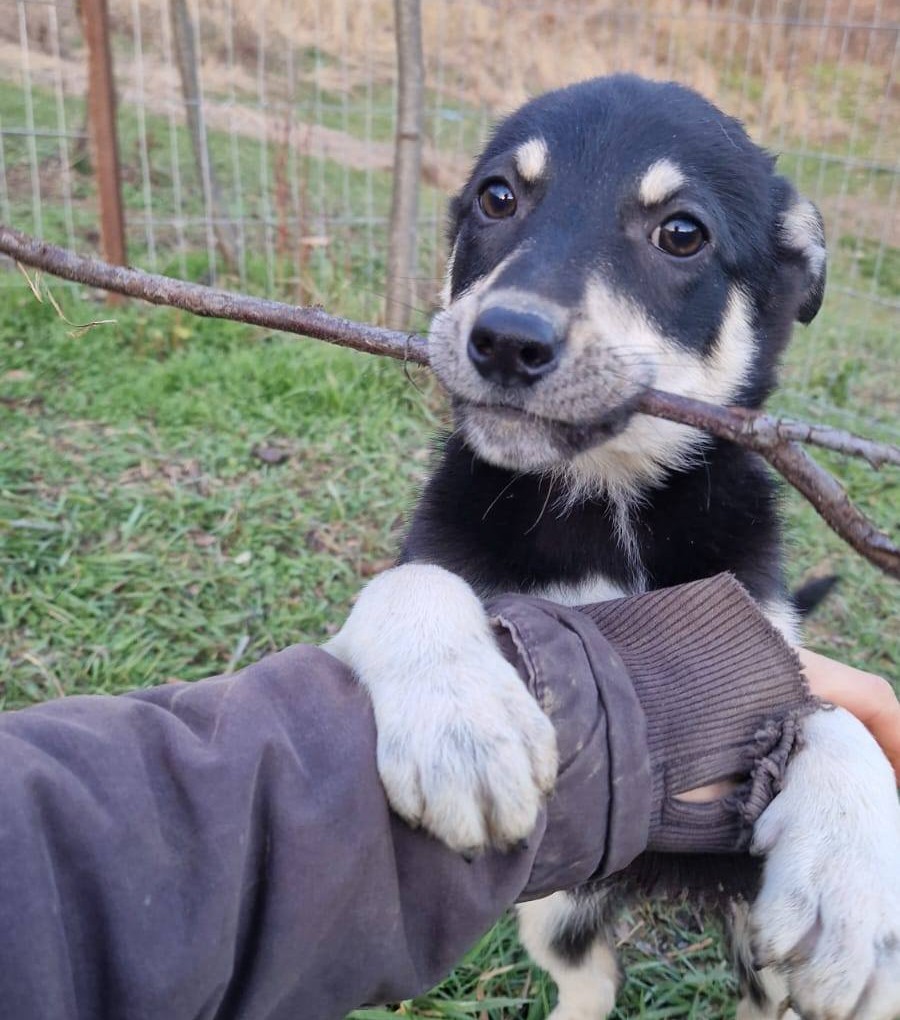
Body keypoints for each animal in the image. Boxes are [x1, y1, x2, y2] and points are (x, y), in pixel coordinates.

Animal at [327, 76, 900, 1019]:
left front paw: (853, 885)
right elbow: (412, 583)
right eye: (497, 198)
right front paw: (463, 719)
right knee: (590, 975)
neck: (606, 501)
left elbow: (829, 708)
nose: (505, 339)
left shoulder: (759, 642)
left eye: (682, 233)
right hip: (555, 900)